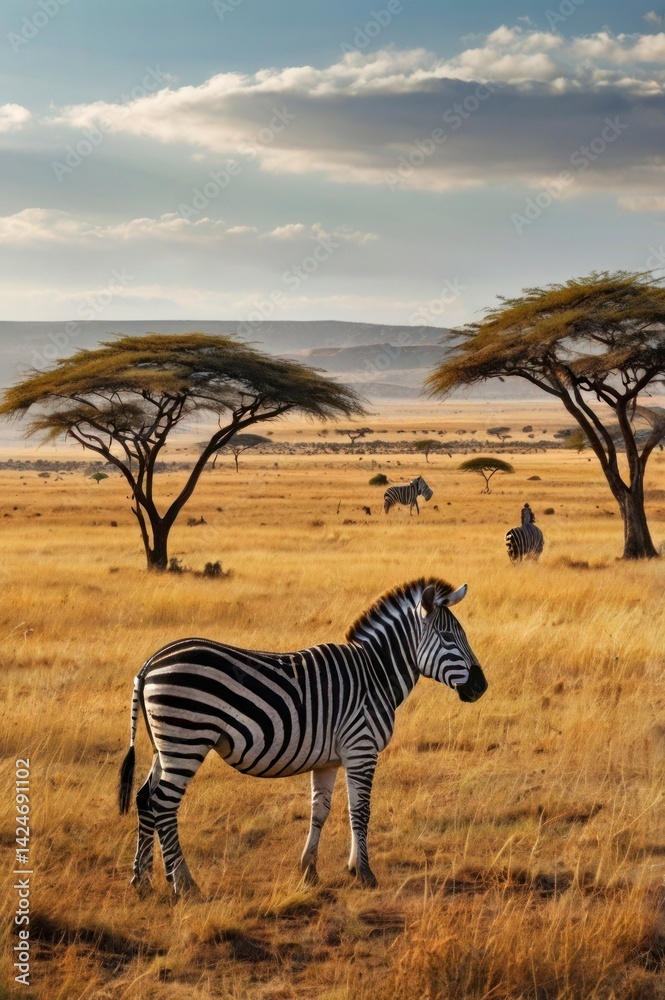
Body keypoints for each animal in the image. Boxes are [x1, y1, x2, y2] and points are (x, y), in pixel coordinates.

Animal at [118, 577, 487, 896]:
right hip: (186, 740)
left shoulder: (329, 760)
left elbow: (320, 811)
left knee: (145, 798)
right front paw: (364, 873)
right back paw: (184, 883)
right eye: (449, 638)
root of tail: (150, 664)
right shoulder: (361, 749)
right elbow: (360, 810)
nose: (481, 687)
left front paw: (311, 870)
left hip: (164, 746)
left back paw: (143, 879)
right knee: (164, 803)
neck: (375, 675)